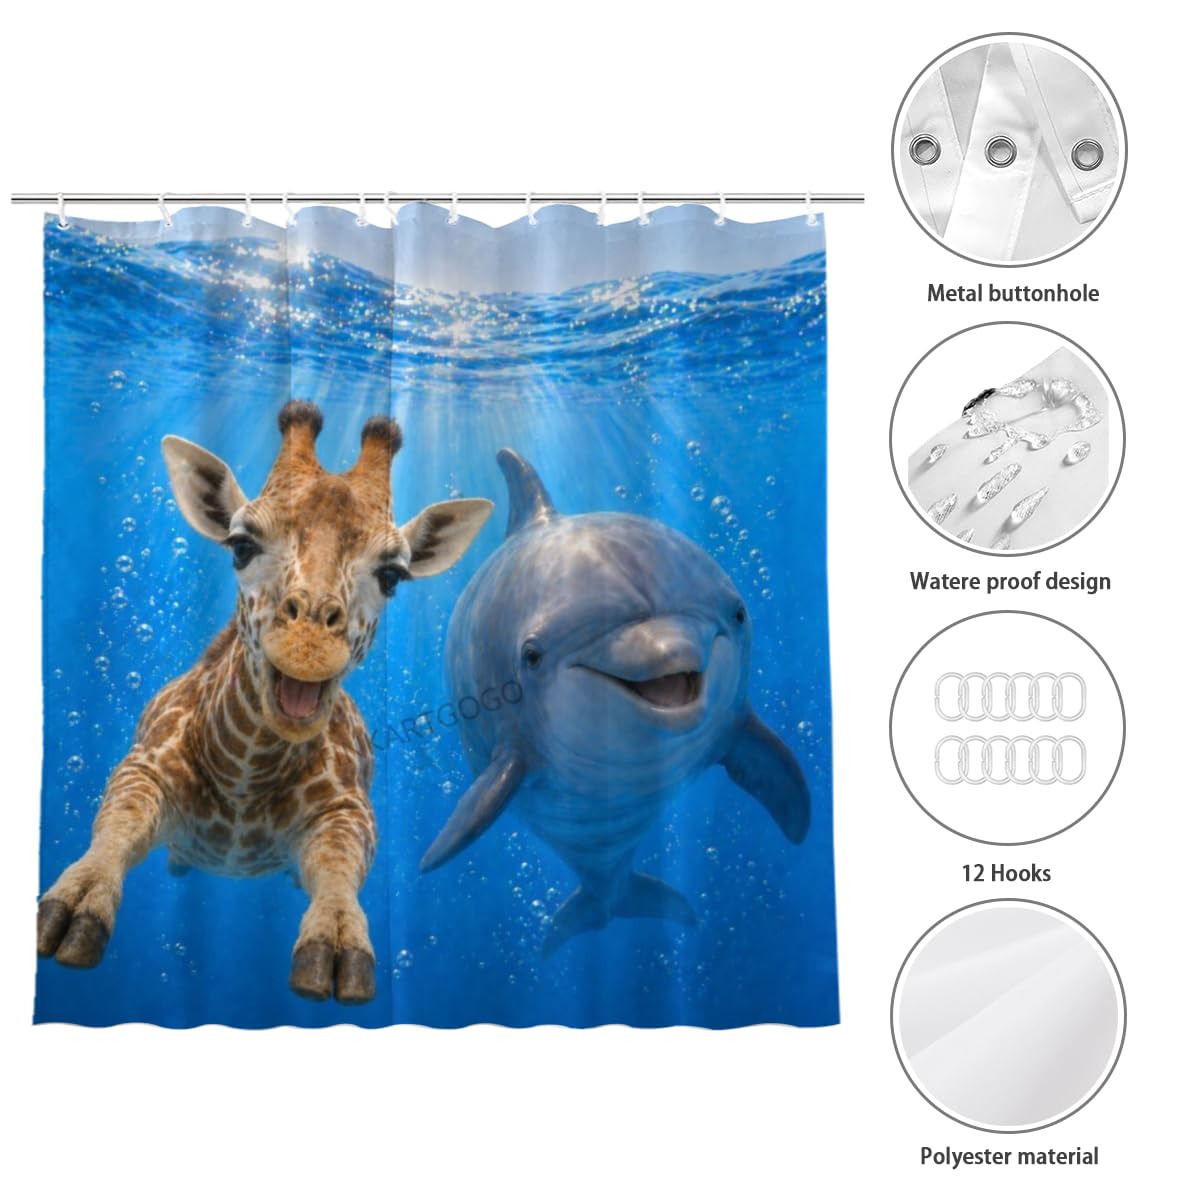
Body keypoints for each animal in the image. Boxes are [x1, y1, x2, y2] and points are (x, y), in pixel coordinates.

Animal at [37, 401, 493, 1005]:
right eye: (242, 545)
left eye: (392, 575)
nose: (308, 643)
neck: (245, 782)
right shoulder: (143, 766)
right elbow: (119, 823)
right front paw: (74, 905)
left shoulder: (349, 809)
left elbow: (337, 865)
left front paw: (336, 940)